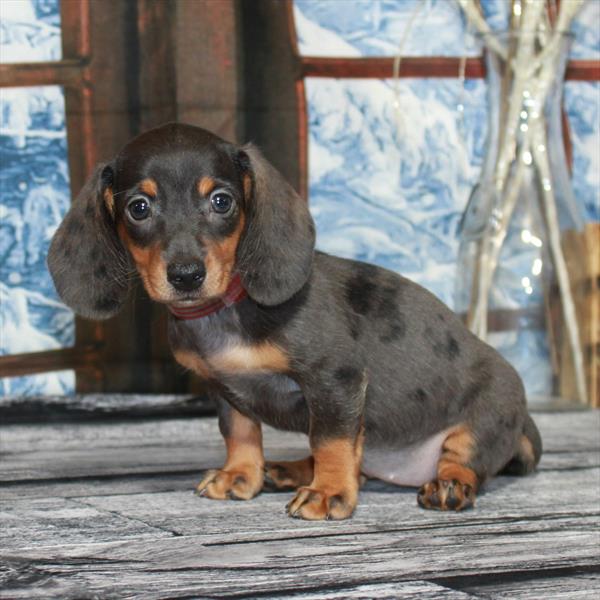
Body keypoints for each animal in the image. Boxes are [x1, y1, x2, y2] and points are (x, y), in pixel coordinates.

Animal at [49, 123, 540, 520]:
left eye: (221, 201)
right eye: (139, 207)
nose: (186, 275)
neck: (228, 309)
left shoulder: (334, 379)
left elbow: (332, 441)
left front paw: (329, 492)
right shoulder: (225, 391)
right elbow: (241, 433)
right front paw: (241, 475)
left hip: (487, 412)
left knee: (465, 458)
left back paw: (448, 484)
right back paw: (289, 469)